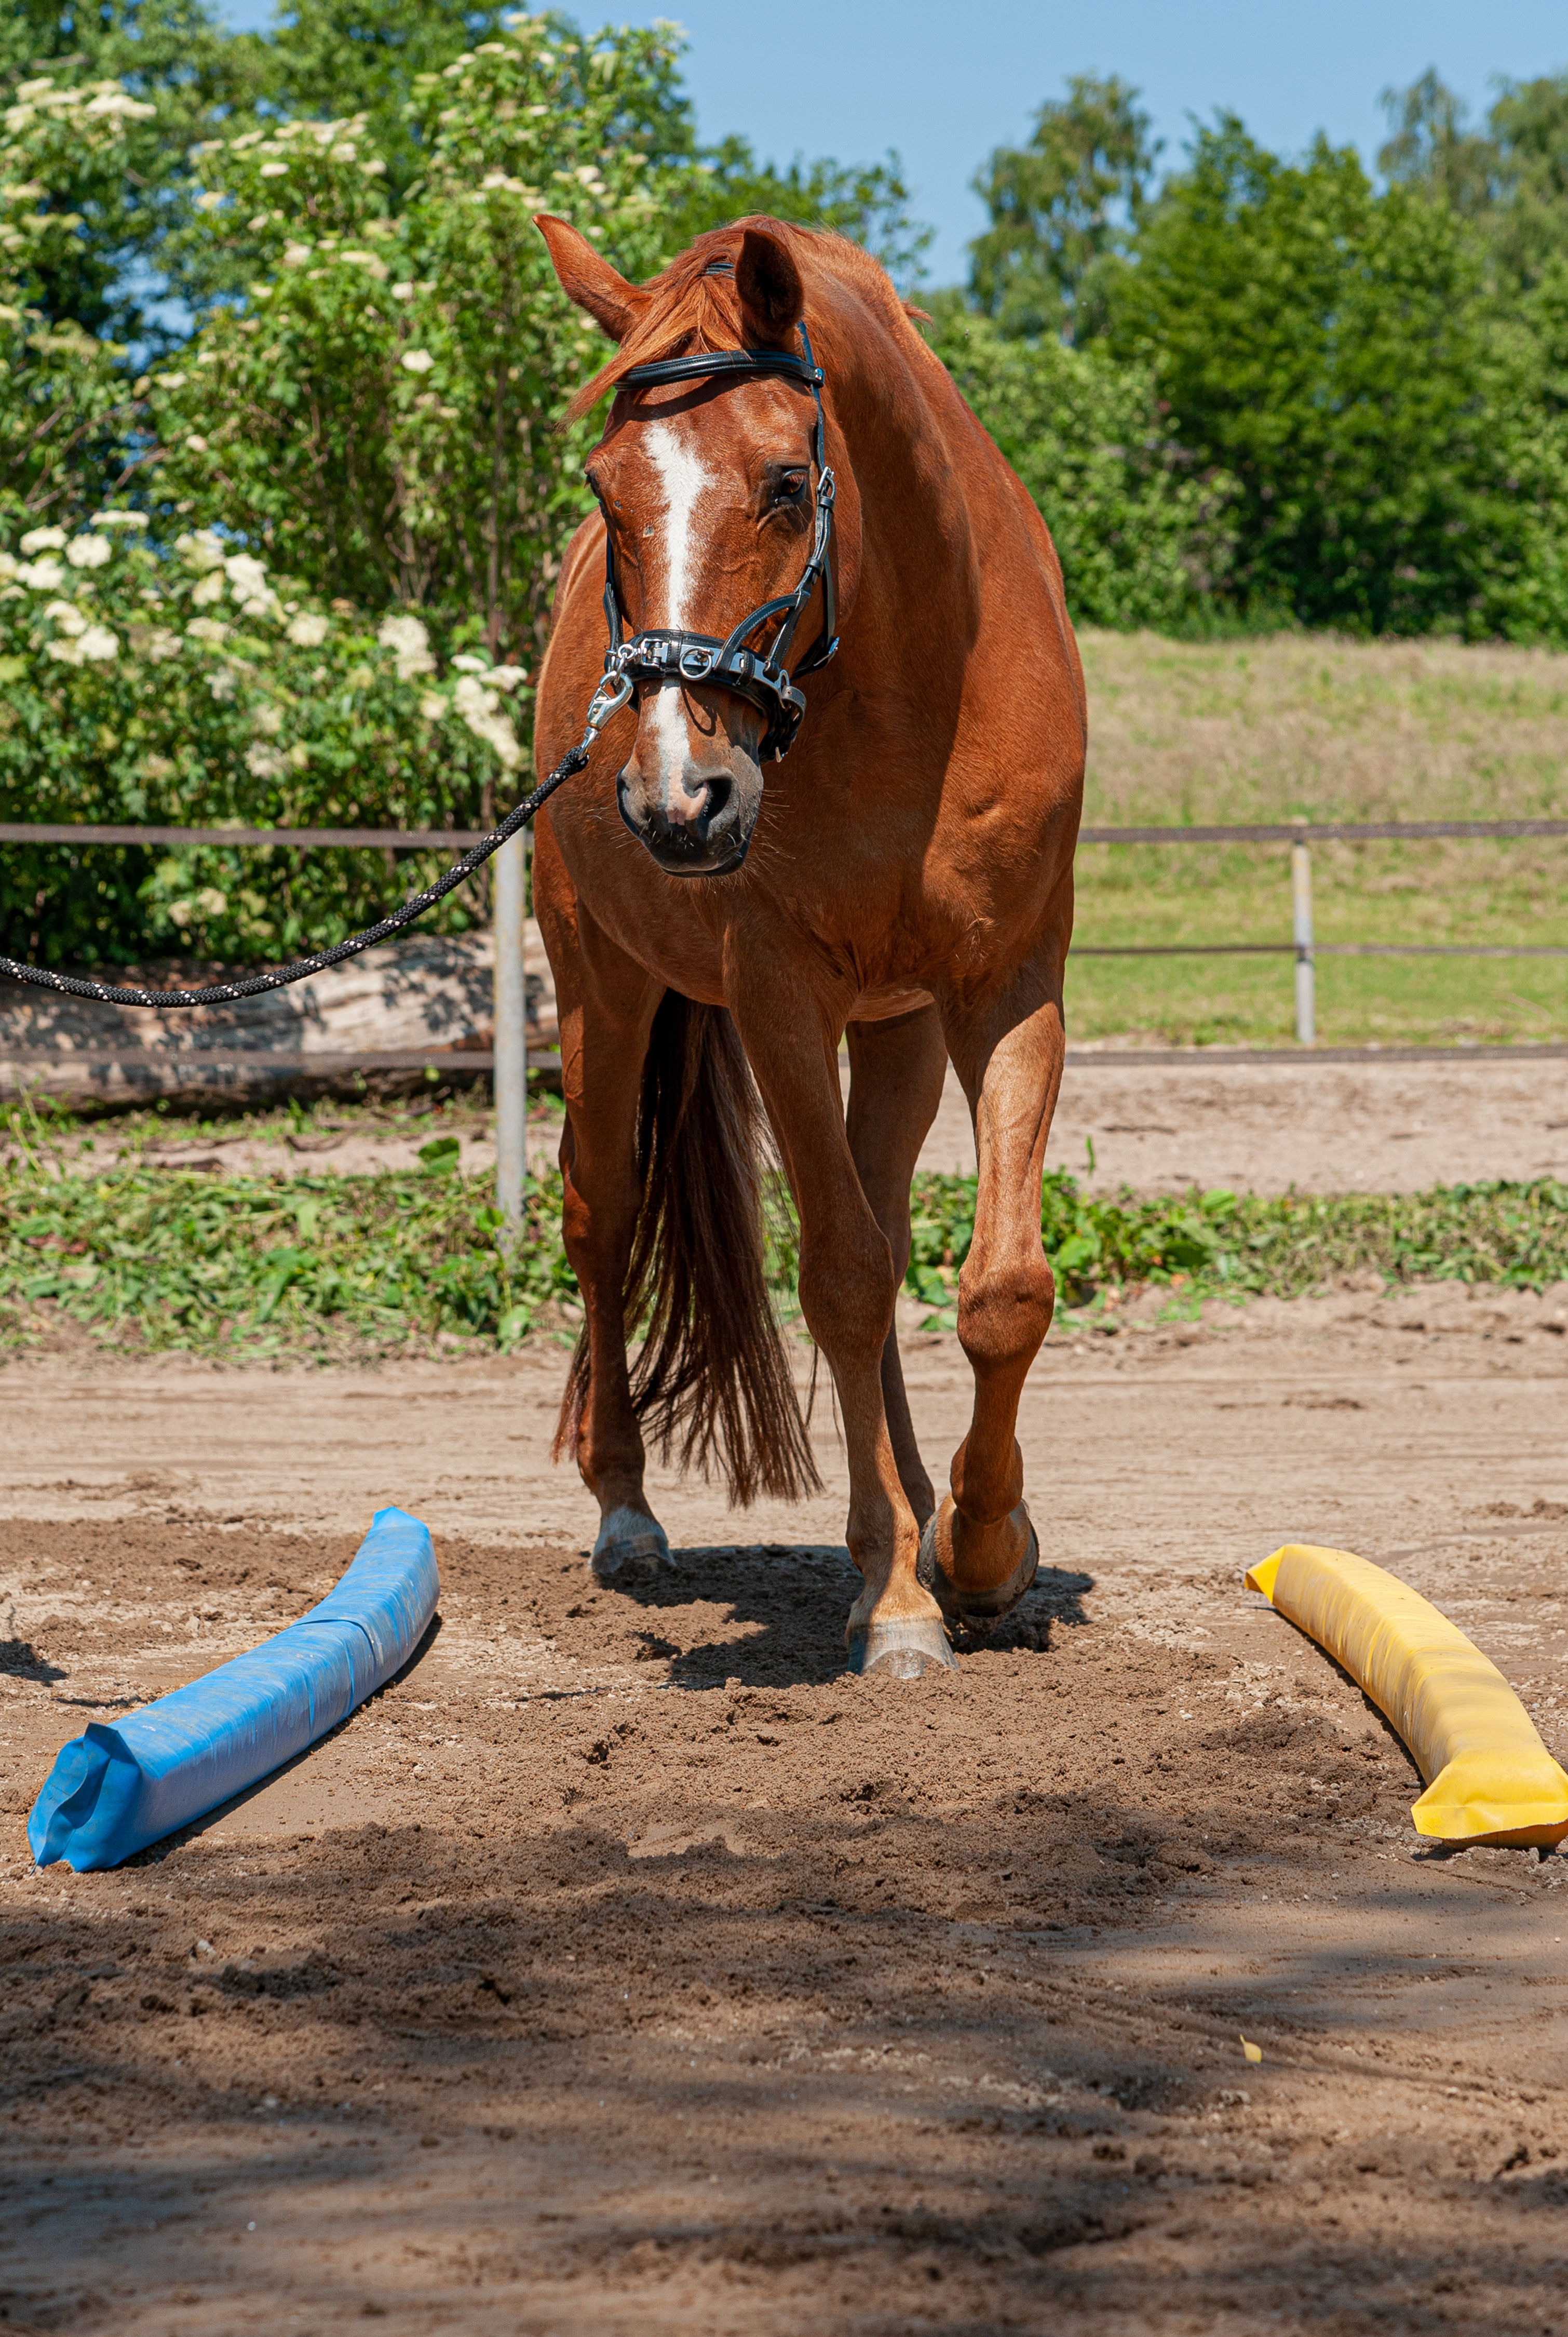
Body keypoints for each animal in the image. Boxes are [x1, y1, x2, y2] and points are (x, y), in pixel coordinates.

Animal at [529, 212, 1085, 1679]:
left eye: (787, 483)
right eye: (606, 491)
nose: (678, 797)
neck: (910, 681)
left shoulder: (1007, 990)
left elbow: (999, 1286)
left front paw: (985, 1550)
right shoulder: (778, 997)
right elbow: (835, 1276)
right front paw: (896, 1601)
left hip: (897, 1029)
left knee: (886, 1229)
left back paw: (912, 1516)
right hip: (603, 993)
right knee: (606, 1217)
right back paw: (630, 1514)